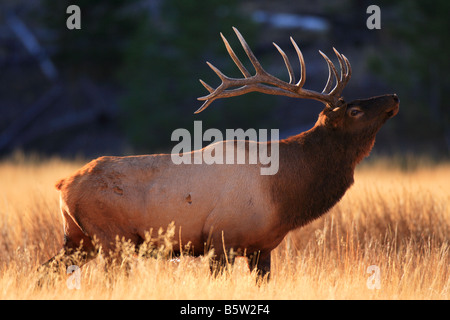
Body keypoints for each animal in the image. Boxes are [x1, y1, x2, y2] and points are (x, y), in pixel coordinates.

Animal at [44, 28, 400, 278]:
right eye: (354, 110)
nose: (394, 97)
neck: (285, 193)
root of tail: (62, 184)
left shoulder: (262, 249)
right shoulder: (221, 240)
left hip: (78, 238)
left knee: (45, 270)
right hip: (109, 238)